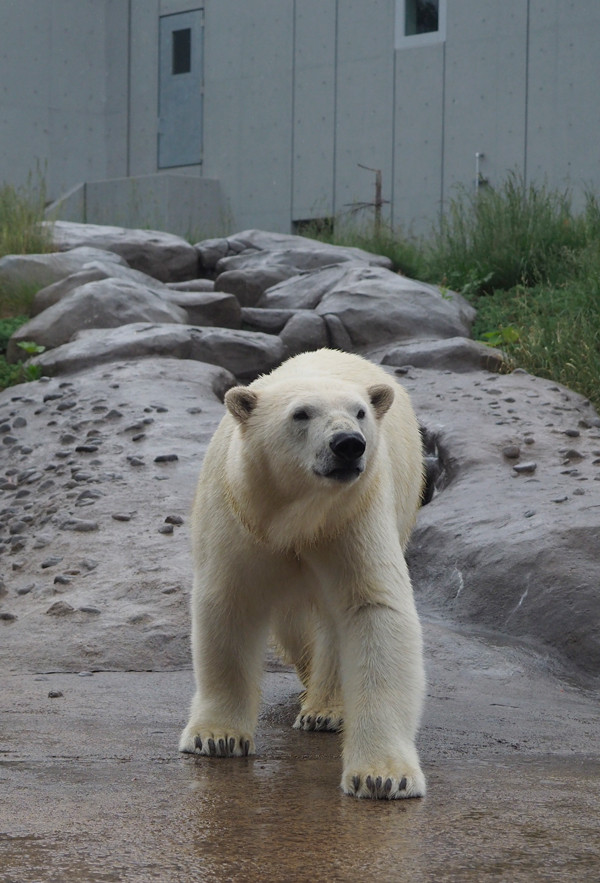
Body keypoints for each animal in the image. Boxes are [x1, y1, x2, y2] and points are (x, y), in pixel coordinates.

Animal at [178, 348, 426, 796]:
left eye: (360, 412)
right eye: (301, 413)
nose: (349, 444)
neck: (298, 517)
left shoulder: (353, 516)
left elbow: (374, 608)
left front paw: (383, 776)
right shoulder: (238, 515)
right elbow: (229, 602)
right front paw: (216, 737)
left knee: (330, 623)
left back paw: (324, 709)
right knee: (294, 625)